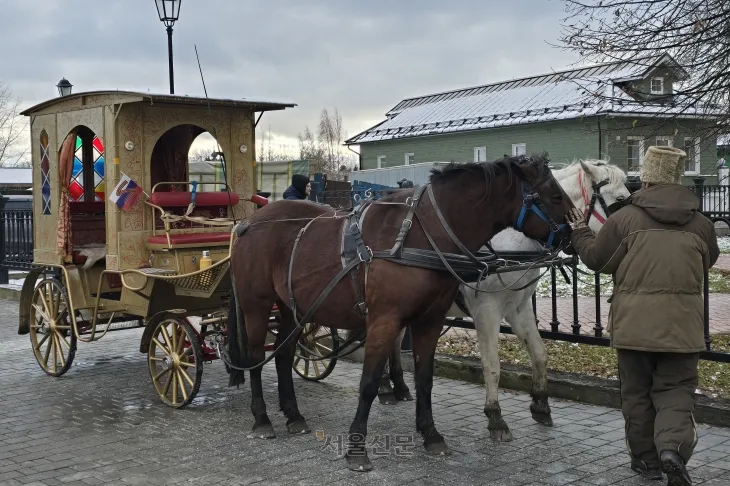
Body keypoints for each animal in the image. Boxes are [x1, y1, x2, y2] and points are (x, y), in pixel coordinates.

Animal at [228, 154, 576, 468]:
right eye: (556, 196)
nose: (572, 237)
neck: (420, 234)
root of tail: (248, 223)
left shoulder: (431, 321)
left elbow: (425, 378)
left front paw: (431, 434)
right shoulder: (387, 320)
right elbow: (368, 382)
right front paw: (357, 448)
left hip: (292, 308)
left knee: (284, 355)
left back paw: (293, 414)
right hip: (257, 306)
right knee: (257, 358)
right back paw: (262, 419)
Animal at [378, 159, 628, 440]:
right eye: (619, 200)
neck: (512, 242)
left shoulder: (518, 308)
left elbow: (539, 354)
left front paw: (540, 403)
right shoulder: (487, 312)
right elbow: (492, 364)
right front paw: (495, 416)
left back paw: (397, 386)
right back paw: (386, 387)